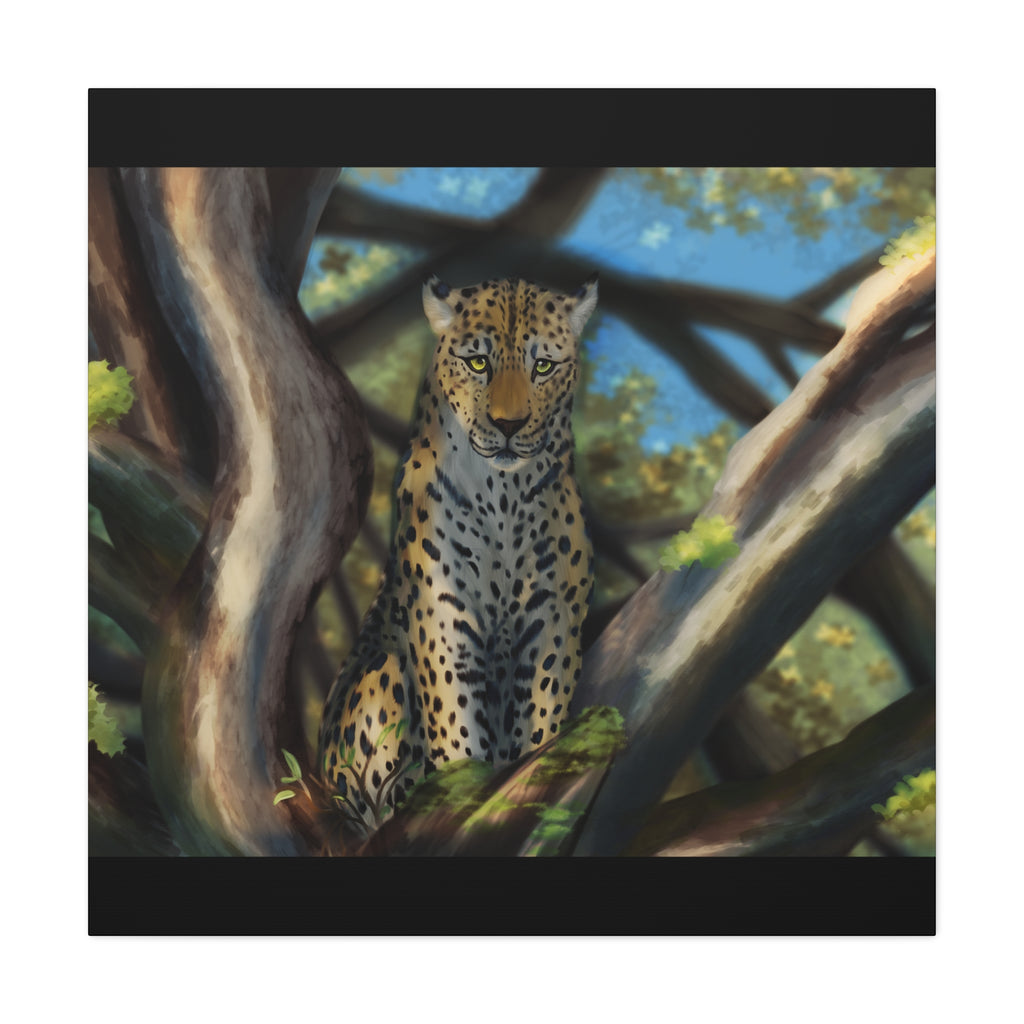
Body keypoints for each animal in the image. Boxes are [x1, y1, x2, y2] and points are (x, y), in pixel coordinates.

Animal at [318, 272, 598, 836]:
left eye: (543, 366)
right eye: (478, 363)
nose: (509, 425)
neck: (504, 494)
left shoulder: (553, 620)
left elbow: (542, 717)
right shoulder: (442, 617)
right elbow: (455, 719)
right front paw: (464, 790)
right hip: (380, 677)